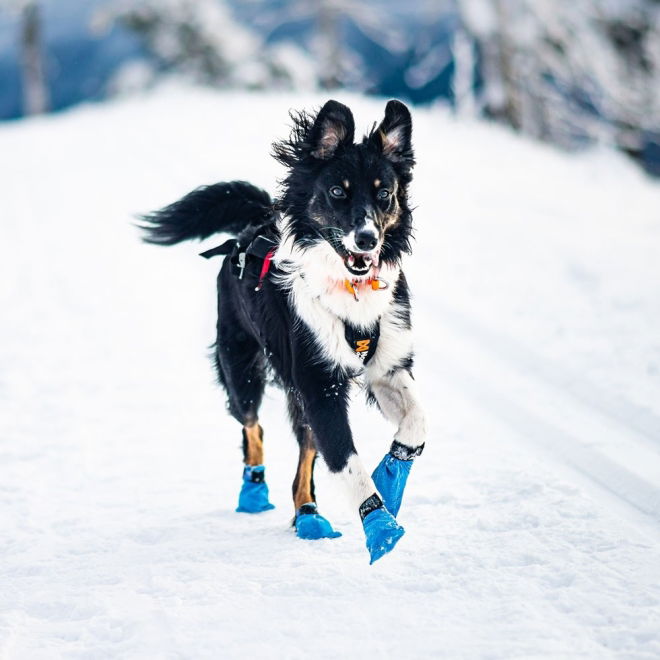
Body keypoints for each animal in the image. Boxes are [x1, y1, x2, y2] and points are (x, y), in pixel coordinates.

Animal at [141, 98, 426, 564]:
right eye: (337, 192)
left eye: (384, 194)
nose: (367, 240)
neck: (350, 292)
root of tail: (249, 231)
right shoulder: (319, 383)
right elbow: (347, 461)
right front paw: (380, 526)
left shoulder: (388, 367)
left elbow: (416, 423)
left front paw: (390, 477)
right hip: (243, 368)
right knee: (252, 425)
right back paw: (255, 493)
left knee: (303, 458)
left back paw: (307, 514)